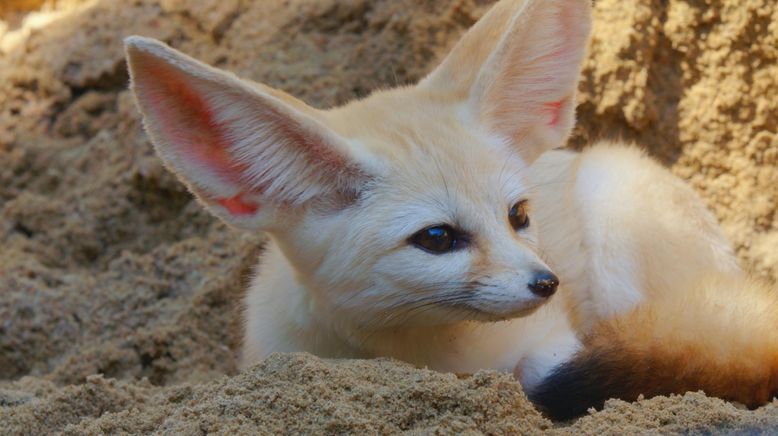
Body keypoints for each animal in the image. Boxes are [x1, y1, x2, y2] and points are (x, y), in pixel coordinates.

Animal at [123, 0, 776, 420]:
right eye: (436, 238)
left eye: (518, 215)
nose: (548, 284)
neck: (421, 357)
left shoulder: (554, 344)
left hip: (616, 216)